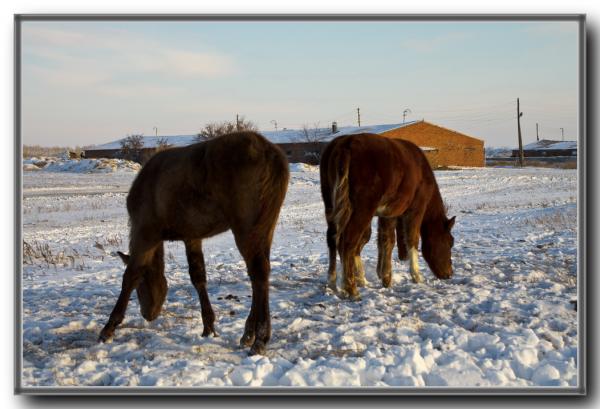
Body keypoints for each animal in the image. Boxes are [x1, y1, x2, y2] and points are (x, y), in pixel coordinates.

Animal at [97, 131, 290, 354]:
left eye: (142, 286)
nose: (148, 314)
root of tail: (270, 152)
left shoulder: (145, 233)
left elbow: (130, 275)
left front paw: (109, 327)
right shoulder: (192, 236)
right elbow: (198, 276)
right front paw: (208, 325)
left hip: (246, 227)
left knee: (258, 273)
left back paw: (260, 337)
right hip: (265, 227)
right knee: (259, 274)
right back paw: (249, 333)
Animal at [318, 132, 454, 298]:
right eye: (450, 242)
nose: (449, 274)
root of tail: (346, 143)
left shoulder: (389, 213)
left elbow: (386, 240)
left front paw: (385, 277)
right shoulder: (416, 208)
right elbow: (412, 238)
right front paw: (416, 276)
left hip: (330, 204)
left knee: (332, 238)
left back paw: (333, 282)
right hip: (362, 208)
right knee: (348, 241)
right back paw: (351, 289)